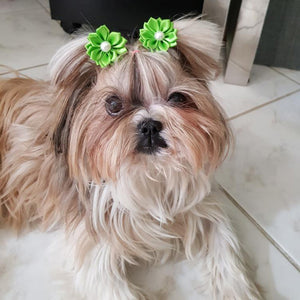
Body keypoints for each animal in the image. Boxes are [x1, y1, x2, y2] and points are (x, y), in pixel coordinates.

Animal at [0, 17, 262, 300]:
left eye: (178, 98)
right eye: (113, 104)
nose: (149, 125)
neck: (148, 175)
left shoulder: (199, 208)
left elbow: (224, 240)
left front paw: (236, 289)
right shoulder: (95, 249)